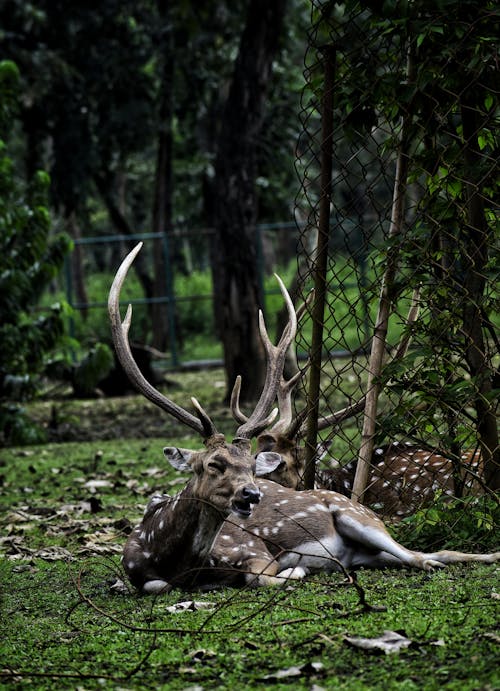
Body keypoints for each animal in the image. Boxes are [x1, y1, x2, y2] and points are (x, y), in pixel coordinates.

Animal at [108, 245, 496, 596]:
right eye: (213, 464)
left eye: (252, 465)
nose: (252, 494)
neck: (171, 558)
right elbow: (156, 585)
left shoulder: (253, 548)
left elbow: (261, 575)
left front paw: (294, 570)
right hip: (369, 551)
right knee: (423, 554)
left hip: (359, 517)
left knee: (421, 556)